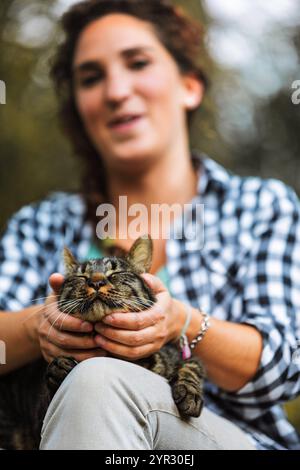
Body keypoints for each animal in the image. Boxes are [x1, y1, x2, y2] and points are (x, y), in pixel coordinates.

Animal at [0, 234, 204, 448]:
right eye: (81, 277)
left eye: (116, 273)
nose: (95, 282)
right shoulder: (40, 418)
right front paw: (59, 367)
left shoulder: (180, 354)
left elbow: (190, 368)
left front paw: (189, 394)